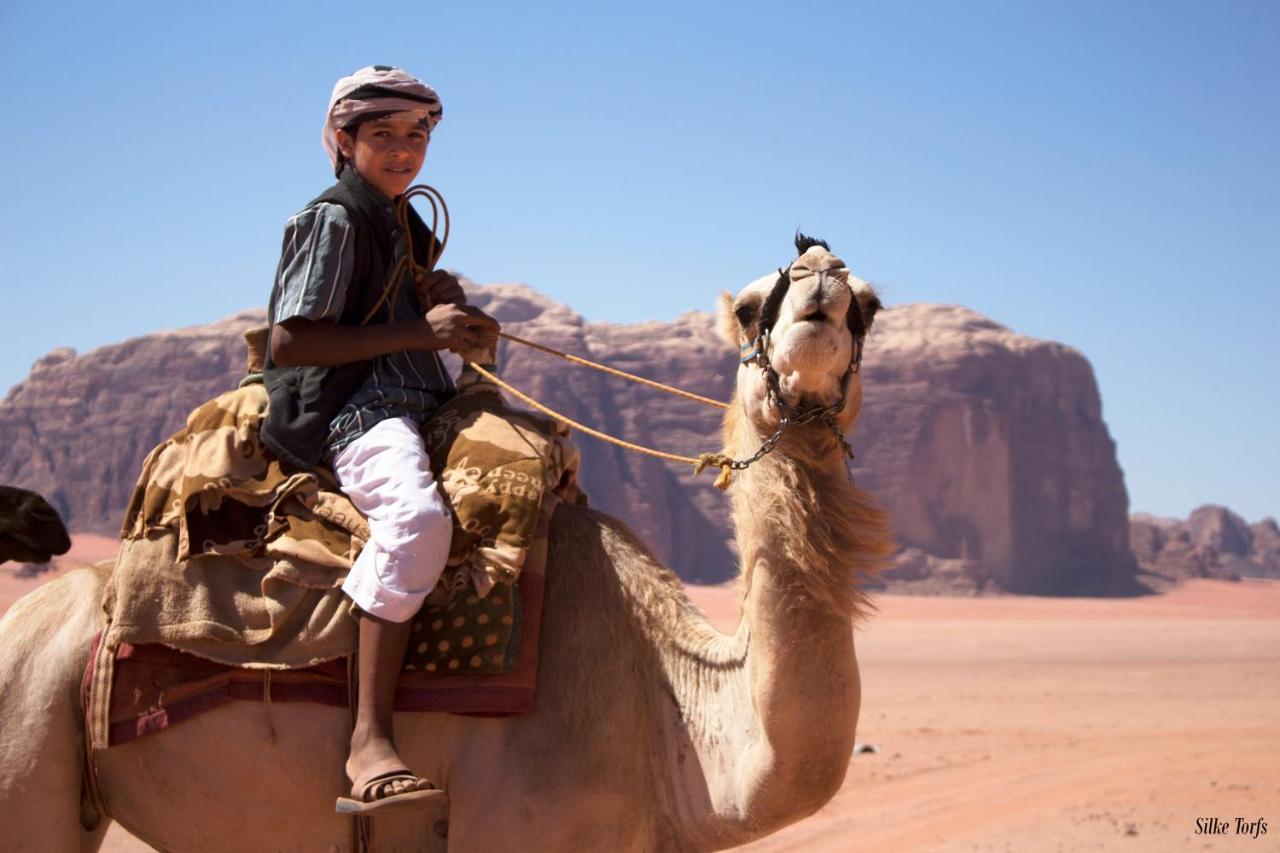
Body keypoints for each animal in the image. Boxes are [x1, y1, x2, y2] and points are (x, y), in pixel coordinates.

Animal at [0, 235, 890, 845]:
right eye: (749, 306)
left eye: (870, 304)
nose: (818, 279)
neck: (672, 720)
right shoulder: (515, 823)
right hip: (25, 748)